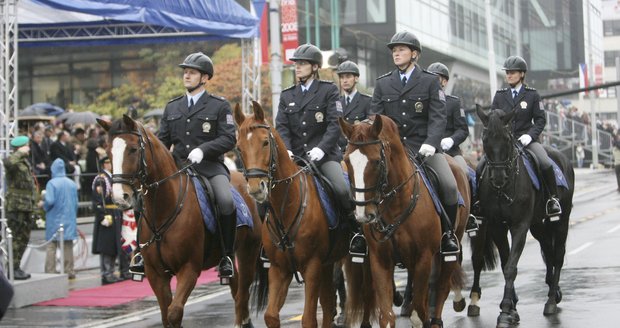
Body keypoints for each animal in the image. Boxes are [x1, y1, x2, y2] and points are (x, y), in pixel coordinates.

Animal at [98, 115, 262, 328]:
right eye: (109, 150)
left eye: (133, 149)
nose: (120, 197)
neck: (164, 208)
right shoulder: (156, 274)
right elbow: (166, 315)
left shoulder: (189, 269)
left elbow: (174, 312)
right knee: (236, 290)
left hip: (248, 252)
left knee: (243, 294)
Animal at [232, 101, 352, 326]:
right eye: (238, 147)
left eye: (265, 143)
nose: (256, 188)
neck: (286, 205)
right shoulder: (279, 269)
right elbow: (271, 315)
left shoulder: (312, 267)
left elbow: (308, 319)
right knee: (329, 303)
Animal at [340, 115, 470, 328]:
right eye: (346, 161)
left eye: (377, 161)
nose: (363, 214)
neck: (396, 203)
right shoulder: (380, 261)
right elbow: (386, 315)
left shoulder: (423, 258)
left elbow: (419, 311)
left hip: (450, 248)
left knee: (441, 288)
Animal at [472, 105, 580, 328]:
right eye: (485, 139)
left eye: (507, 139)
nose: (498, 178)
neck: (502, 190)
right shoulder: (497, 227)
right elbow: (505, 263)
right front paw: (512, 309)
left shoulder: (520, 226)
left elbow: (511, 267)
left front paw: (506, 311)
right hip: (538, 225)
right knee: (548, 251)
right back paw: (553, 290)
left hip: (561, 221)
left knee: (558, 256)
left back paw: (551, 301)